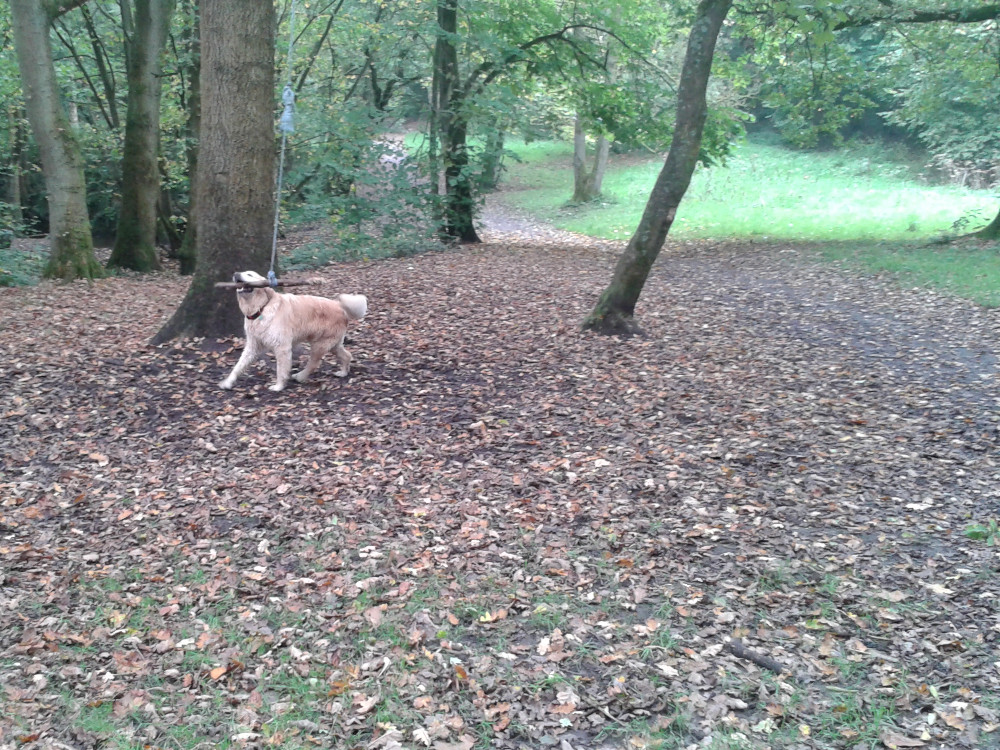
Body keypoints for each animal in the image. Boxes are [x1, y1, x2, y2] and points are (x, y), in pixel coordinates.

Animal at [219, 274, 368, 396]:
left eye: (249, 274)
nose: (236, 274)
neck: (261, 308)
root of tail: (339, 305)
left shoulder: (282, 347)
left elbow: (281, 370)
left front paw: (278, 386)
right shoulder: (252, 346)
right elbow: (238, 366)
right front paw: (227, 382)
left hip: (319, 344)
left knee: (314, 363)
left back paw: (300, 376)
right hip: (332, 344)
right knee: (346, 355)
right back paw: (343, 372)